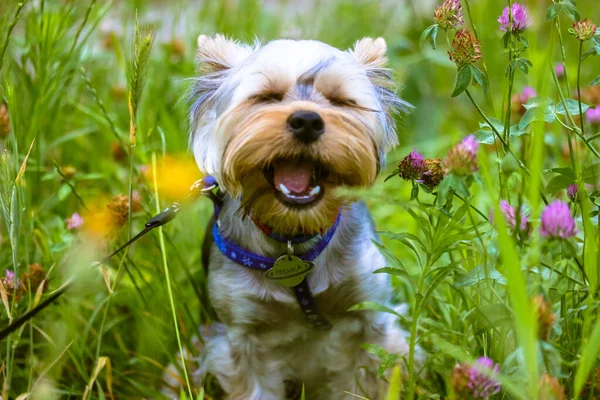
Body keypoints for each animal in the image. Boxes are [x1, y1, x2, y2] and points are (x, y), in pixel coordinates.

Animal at [165, 35, 418, 400]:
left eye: (341, 101)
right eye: (265, 97)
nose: (308, 120)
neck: (294, 232)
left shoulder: (369, 318)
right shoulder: (242, 337)